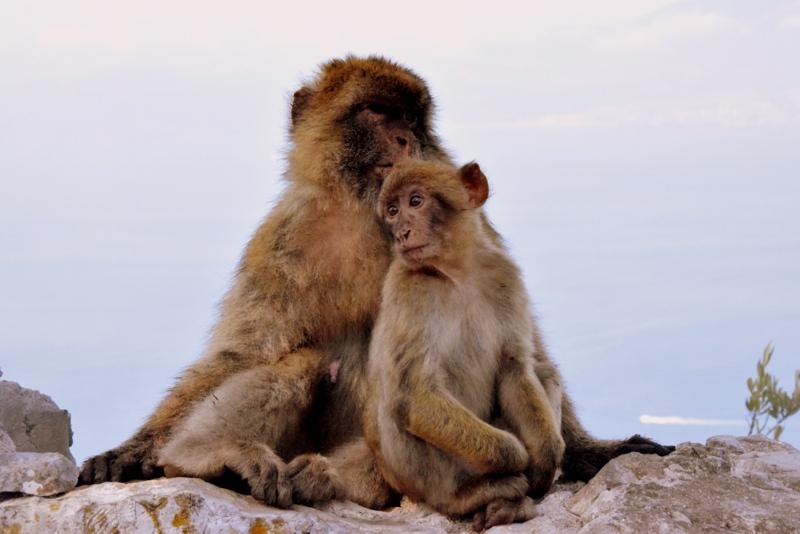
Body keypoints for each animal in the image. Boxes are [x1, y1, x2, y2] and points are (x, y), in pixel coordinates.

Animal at [79, 55, 674, 507]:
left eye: (411, 117)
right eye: (375, 112)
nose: (405, 137)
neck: (367, 212)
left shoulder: (478, 231)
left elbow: (526, 351)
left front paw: (589, 450)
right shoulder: (281, 237)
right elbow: (242, 351)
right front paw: (133, 449)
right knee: (300, 361)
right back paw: (213, 459)